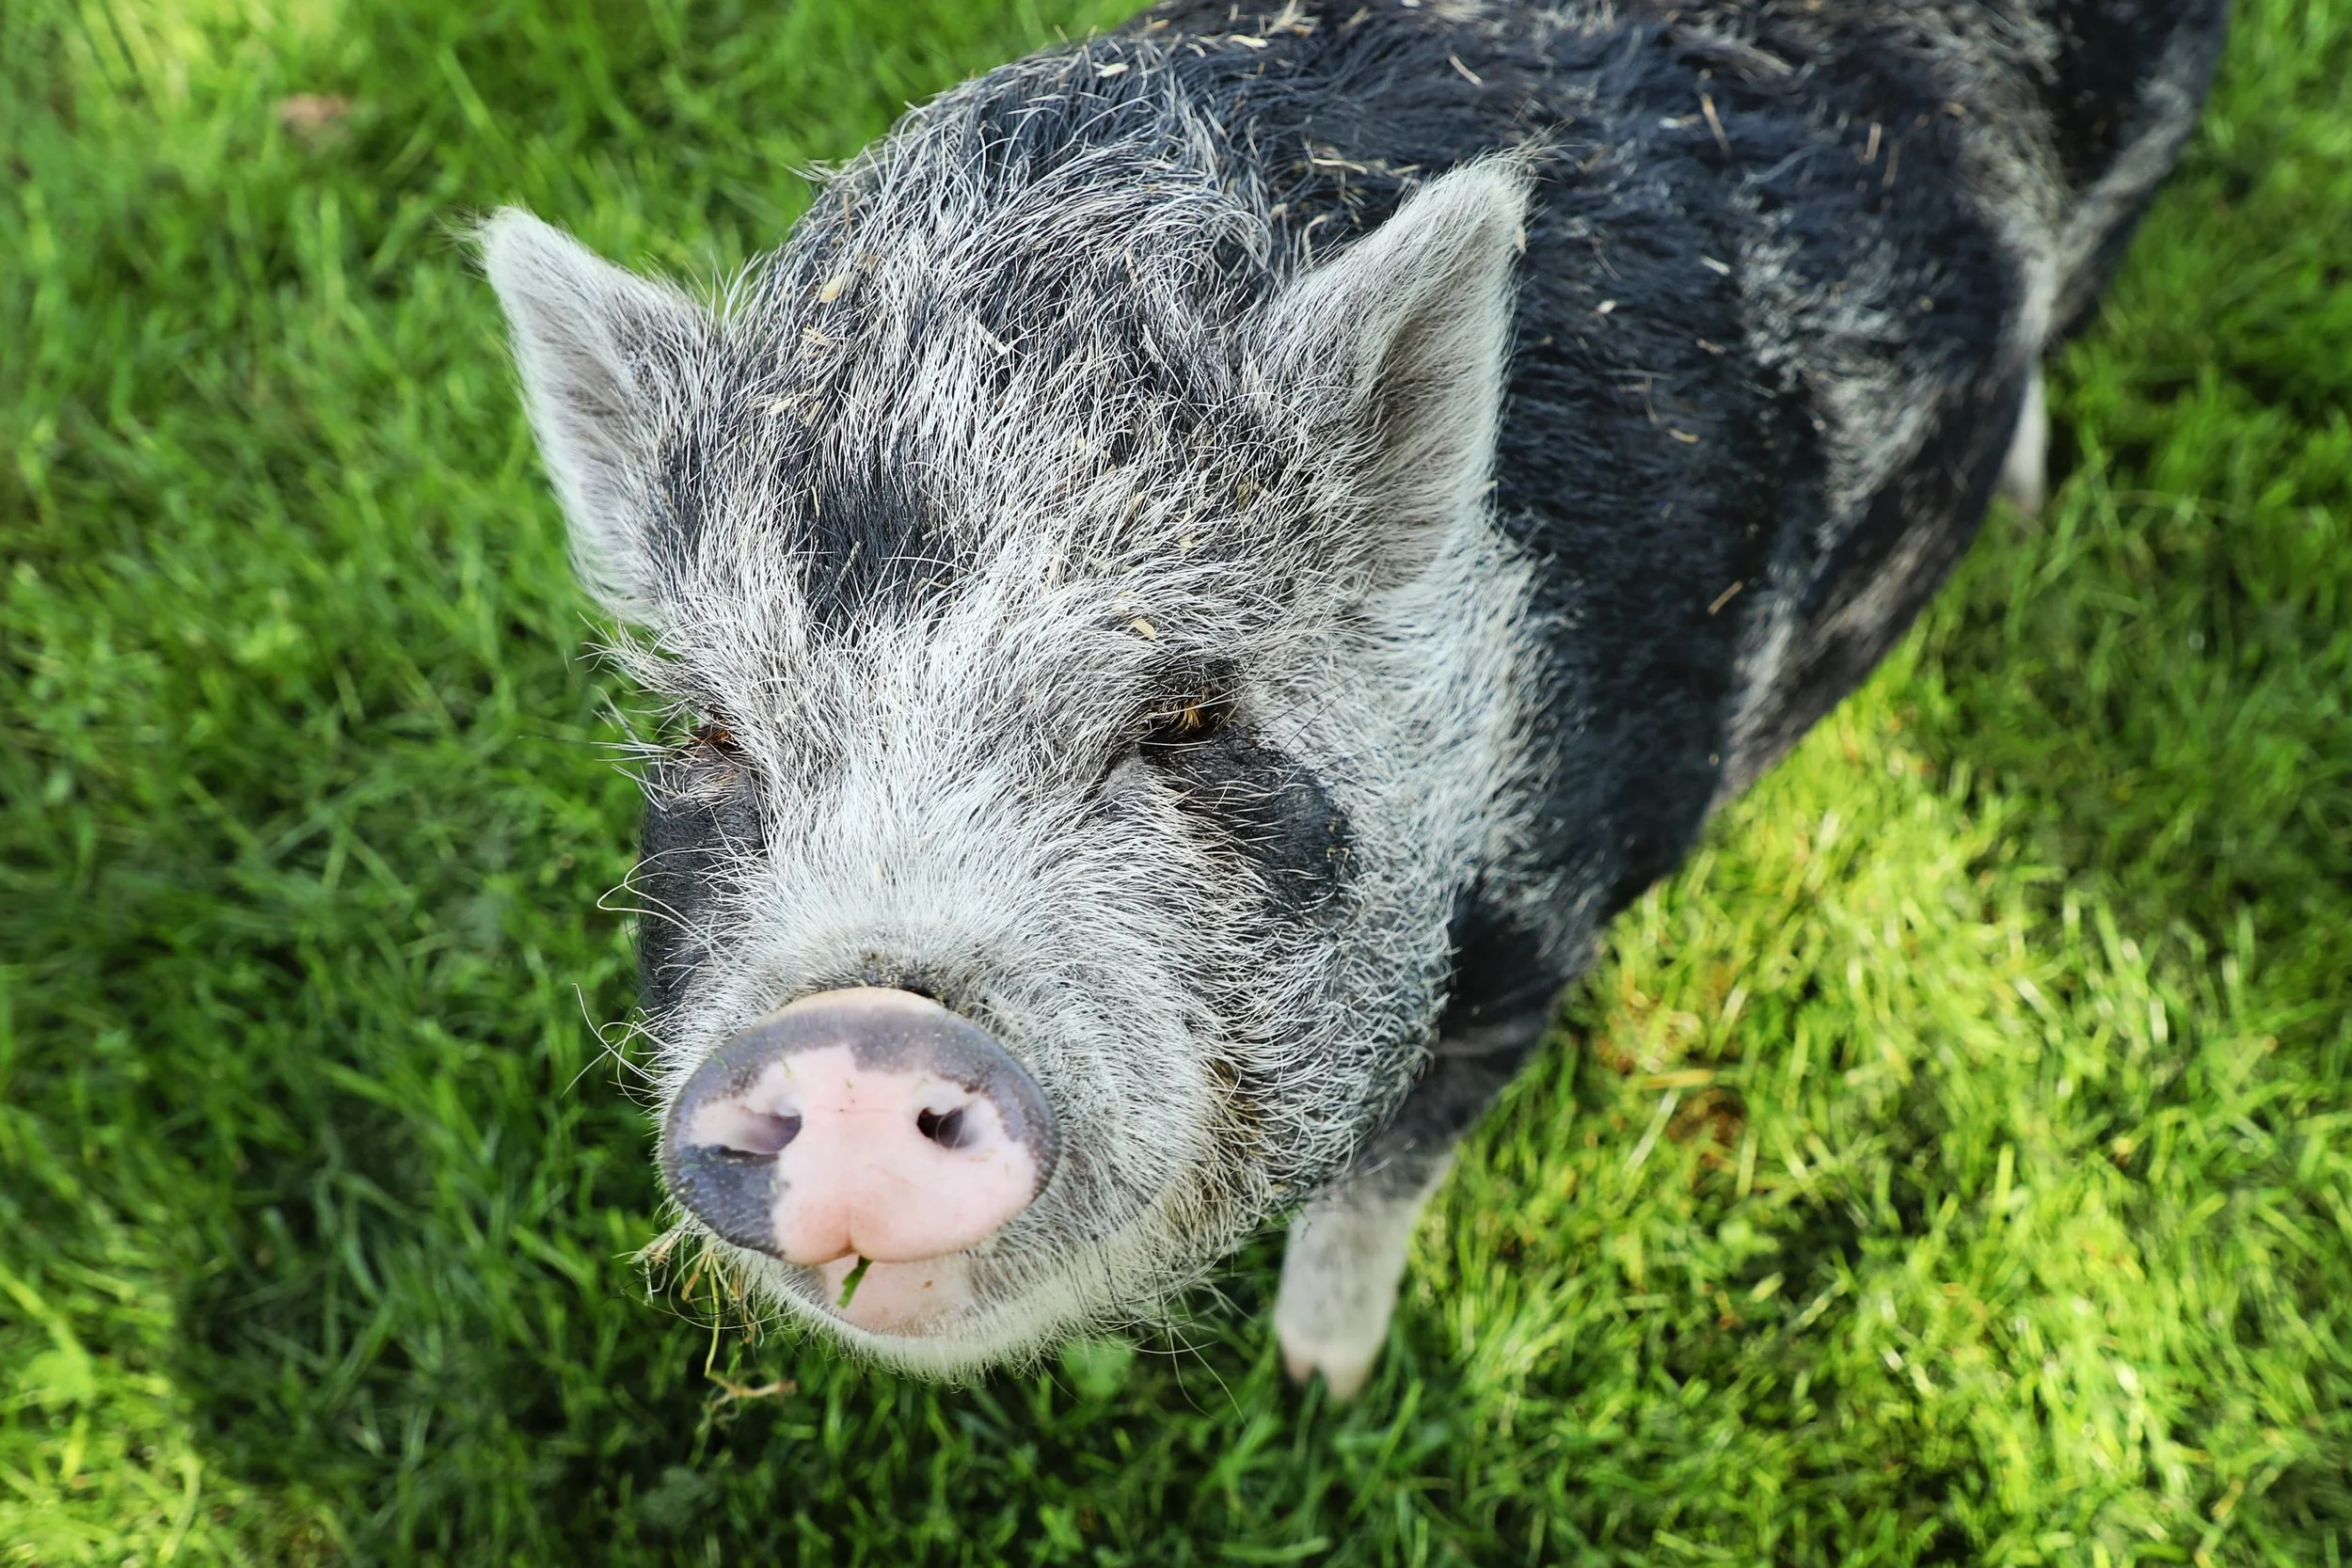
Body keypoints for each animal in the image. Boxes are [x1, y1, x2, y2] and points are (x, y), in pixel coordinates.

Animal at [481, 0, 2228, 1393]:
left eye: (1190, 714)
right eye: (713, 733)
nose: (856, 1032)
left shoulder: (1540, 933)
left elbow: (1383, 1182)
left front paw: (1322, 1384)